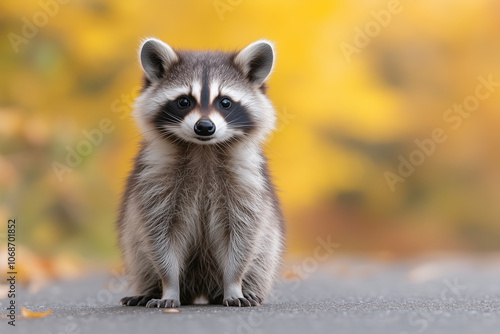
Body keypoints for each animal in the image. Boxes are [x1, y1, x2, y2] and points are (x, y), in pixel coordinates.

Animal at [114, 37, 284, 308]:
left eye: (225, 102)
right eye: (184, 101)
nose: (204, 127)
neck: (203, 149)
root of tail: (201, 289)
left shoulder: (246, 181)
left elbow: (243, 235)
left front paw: (234, 285)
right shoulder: (155, 178)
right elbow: (159, 235)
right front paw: (168, 287)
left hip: (267, 247)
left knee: (263, 251)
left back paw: (247, 288)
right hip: (134, 241)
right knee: (140, 253)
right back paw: (150, 290)